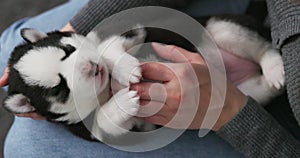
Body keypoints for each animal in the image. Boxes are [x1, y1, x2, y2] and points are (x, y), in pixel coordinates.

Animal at [1, 15, 284, 141]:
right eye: (60, 89)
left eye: (69, 50)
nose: (92, 66)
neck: (107, 88)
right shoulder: (112, 130)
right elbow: (104, 121)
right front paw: (124, 102)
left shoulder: (128, 30)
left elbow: (107, 48)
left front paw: (127, 69)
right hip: (245, 93)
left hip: (221, 28)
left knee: (263, 47)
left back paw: (276, 69)